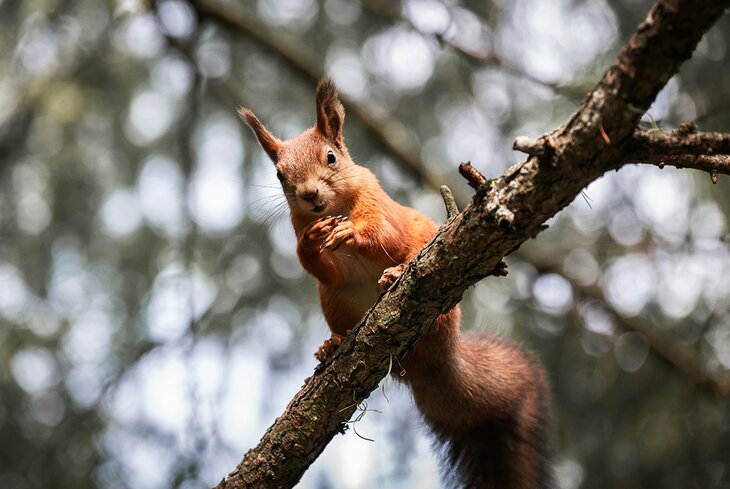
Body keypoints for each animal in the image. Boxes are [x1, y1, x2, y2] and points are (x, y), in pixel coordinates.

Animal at [239, 78, 552, 486]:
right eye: (279, 175)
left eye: (331, 158)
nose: (309, 195)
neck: (335, 209)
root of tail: (437, 361)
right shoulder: (305, 233)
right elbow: (321, 267)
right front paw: (311, 243)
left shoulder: (377, 201)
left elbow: (383, 234)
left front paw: (353, 234)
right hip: (333, 300)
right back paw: (332, 343)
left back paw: (395, 276)